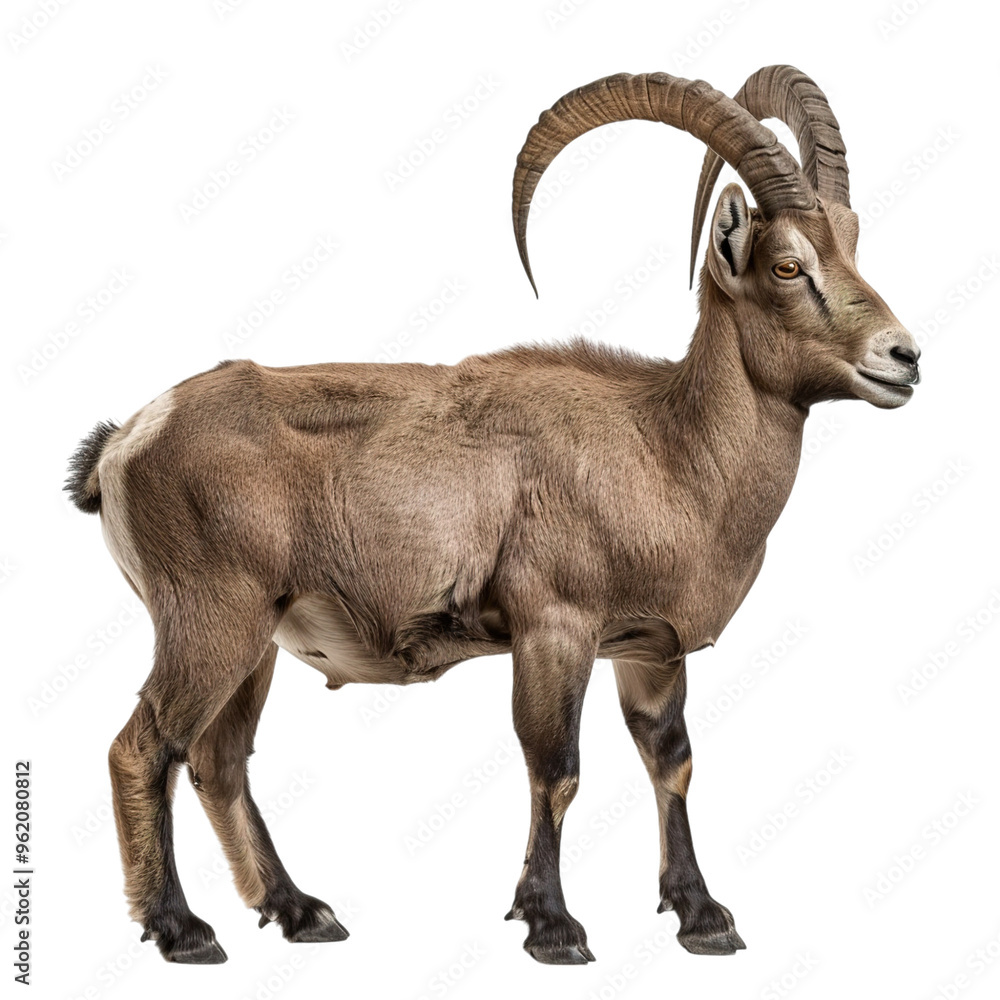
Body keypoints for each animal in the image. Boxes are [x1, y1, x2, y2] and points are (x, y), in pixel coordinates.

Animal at [66, 66, 920, 966]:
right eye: (788, 265)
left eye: (852, 245)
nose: (904, 357)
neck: (668, 450)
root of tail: (126, 440)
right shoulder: (554, 626)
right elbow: (557, 766)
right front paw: (552, 924)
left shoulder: (648, 648)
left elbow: (671, 763)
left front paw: (703, 916)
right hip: (210, 617)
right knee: (144, 747)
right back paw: (180, 928)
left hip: (255, 639)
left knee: (220, 761)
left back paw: (301, 911)